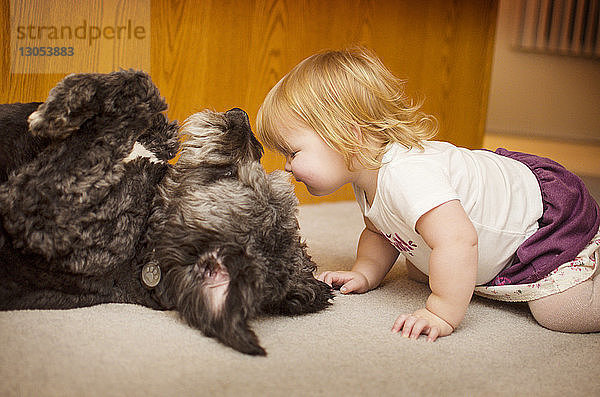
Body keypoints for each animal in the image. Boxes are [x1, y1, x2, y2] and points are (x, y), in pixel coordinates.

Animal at [0, 69, 332, 354]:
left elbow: (133, 99)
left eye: (230, 175)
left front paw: (56, 110)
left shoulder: (37, 205)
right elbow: (153, 112)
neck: (145, 238)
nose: (242, 115)